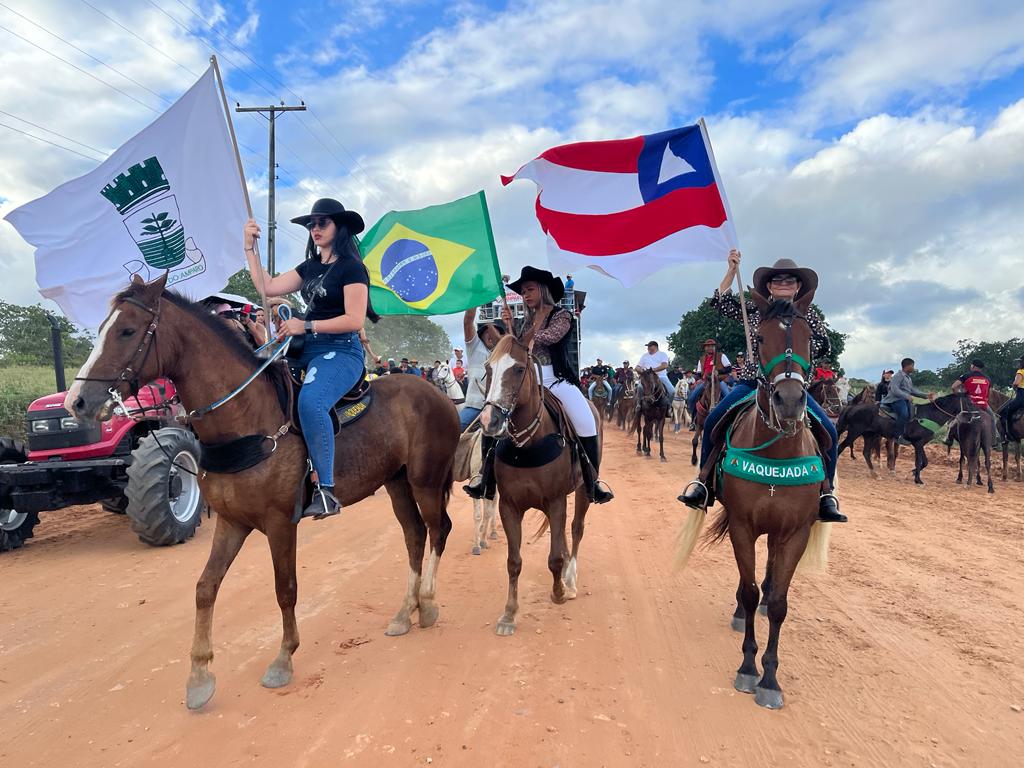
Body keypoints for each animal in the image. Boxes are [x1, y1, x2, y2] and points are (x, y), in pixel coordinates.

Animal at [62, 274, 456, 708]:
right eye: (101, 329)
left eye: (128, 331)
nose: (76, 402)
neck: (247, 420)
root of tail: (437, 394)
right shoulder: (231, 521)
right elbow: (205, 588)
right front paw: (199, 675)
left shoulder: (281, 523)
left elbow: (285, 589)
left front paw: (283, 659)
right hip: (396, 481)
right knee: (414, 535)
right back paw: (405, 612)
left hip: (425, 481)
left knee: (437, 530)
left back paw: (429, 603)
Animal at [477, 335, 598, 638]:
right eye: (488, 368)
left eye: (519, 369)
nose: (489, 421)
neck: (527, 445)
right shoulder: (509, 506)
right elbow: (514, 562)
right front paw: (509, 614)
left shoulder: (556, 501)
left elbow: (554, 557)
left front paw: (559, 592)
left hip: (582, 491)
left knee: (576, 529)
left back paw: (570, 581)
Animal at [675, 290, 827, 712]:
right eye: (758, 338)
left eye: (812, 339)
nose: (789, 401)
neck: (777, 454)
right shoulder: (742, 525)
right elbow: (748, 588)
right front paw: (747, 668)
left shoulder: (795, 532)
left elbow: (777, 602)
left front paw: (770, 679)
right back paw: (744, 612)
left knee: (772, 573)